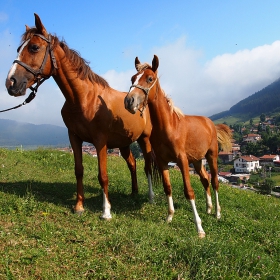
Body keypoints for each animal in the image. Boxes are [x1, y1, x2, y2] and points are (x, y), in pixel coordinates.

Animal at [4, 13, 155, 219]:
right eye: (19, 48)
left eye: (34, 47)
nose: (11, 83)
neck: (83, 99)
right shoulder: (74, 138)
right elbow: (79, 170)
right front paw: (79, 206)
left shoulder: (100, 141)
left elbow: (103, 175)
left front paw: (106, 211)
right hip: (124, 144)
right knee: (132, 164)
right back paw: (134, 192)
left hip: (144, 140)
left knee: (147, 166)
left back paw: (150, 196)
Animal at [124, 55, 232, 238]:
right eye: (132, 78)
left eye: (150, 78)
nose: (129, 101)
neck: (168, 126)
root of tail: (211, 124)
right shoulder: (163, 161)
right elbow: (168, 187)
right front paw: (169, 217)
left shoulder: (182, 160)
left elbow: (188, 191)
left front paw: (199, 228)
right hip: (197, 160)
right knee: (205, 179)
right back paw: (209, 208)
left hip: (212, 157)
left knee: (215, 181)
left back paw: (217, 213)